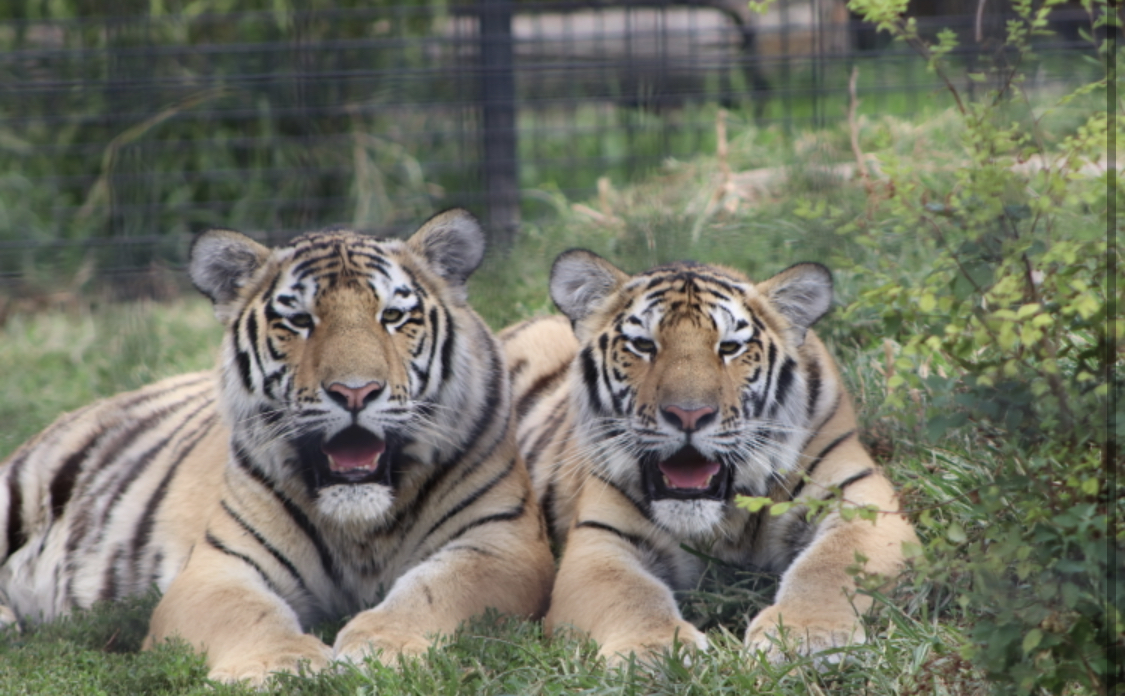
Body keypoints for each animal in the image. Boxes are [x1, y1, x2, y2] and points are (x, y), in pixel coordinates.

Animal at [0, 208, 553, 688]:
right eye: (300, 321)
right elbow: (247, 614)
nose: (355, 392)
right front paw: (278, 665)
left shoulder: (500, 545)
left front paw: (384, 648)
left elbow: (431, 593)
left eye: (394, 316)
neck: (359, 531)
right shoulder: (216, 567)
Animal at [506, 250, 918, 665]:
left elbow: (830, 567)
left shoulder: (859, 500)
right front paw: (652, 650)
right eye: (643, 345)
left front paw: (807, 636)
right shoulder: (600, 540)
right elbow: (628, 593)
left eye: (730, 348)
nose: (689, 414)